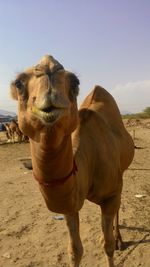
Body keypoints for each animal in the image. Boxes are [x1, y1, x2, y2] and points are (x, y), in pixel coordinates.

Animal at [10, 55, 135, 267]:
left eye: (75, 82)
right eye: (19, 83)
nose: (48, 67)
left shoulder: (111, 193)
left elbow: (108, 246)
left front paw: (112, 241)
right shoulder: (69, 205)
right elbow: (75, 250)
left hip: (121, 174)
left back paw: (118, 238)